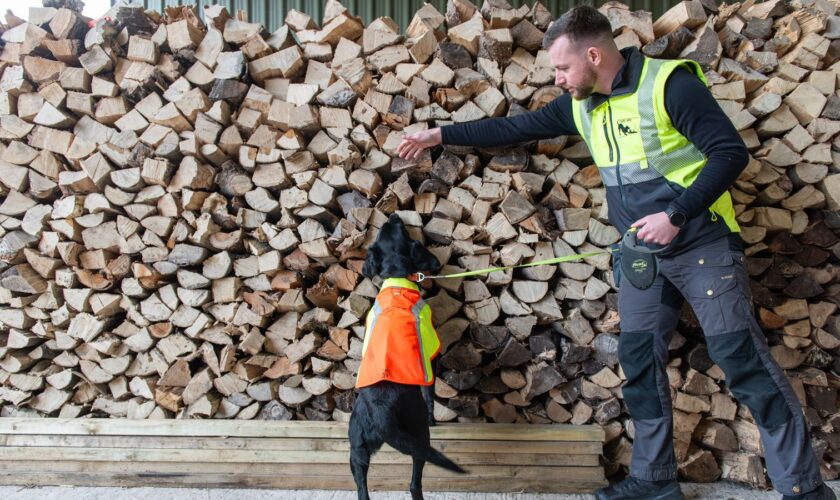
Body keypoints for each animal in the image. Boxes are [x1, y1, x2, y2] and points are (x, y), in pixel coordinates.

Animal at [348, 215, 466, 500]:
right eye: (402, 230)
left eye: (384, 231)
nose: (393, 216)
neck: (397, 278)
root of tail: (379, 412)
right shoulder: (430, 357)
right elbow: (430, 393)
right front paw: (435, 417)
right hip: (419, 436)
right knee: (414, 484)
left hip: (357, 451)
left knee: (362, 491)